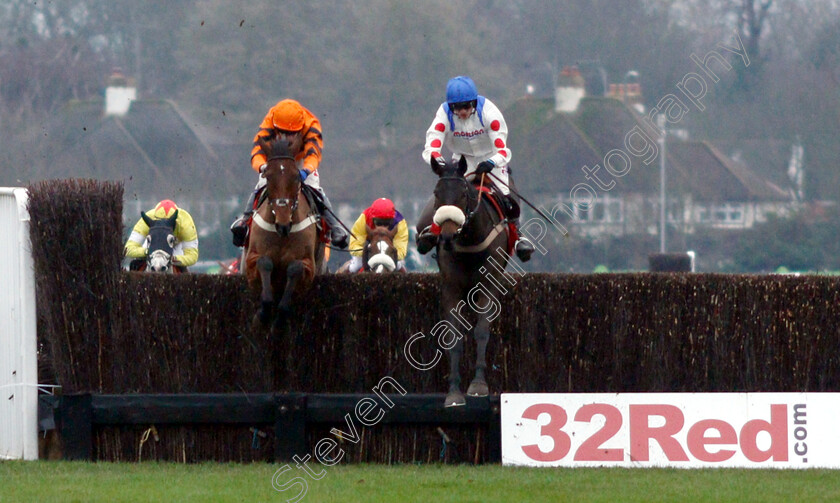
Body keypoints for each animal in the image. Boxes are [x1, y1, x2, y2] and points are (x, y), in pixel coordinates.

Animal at [243, 136, 324, 324]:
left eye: (296, 176)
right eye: (268, 176)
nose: (283, 224)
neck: (282, 235)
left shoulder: (310, 267)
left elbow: (295, 267)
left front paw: (280, 316)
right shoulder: (251, 261)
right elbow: (264, 262)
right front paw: (262, 313)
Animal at [430, 156, 508, 408]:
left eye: (463, 194)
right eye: (436, 193)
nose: (447, 236)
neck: (469, 242)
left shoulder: (488, 286)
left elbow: (482, 330)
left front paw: (478, 385)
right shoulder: (451, 288)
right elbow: (453, 337)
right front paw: (454, 393)